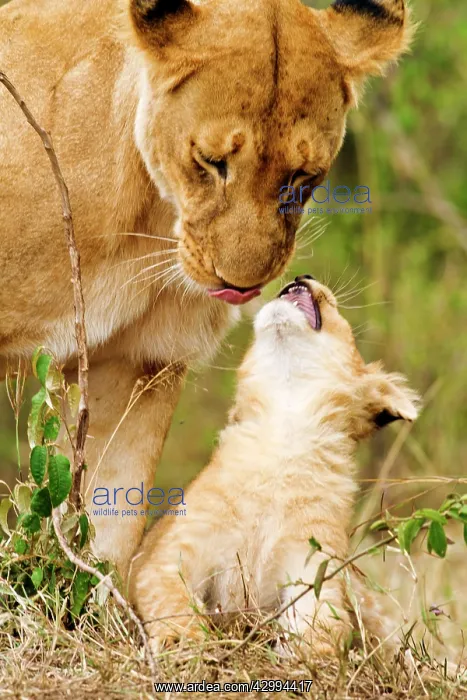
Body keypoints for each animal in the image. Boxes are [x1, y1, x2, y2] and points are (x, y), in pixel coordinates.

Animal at [0, 0, 412, 577]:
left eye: (302, 176)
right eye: (211, 161)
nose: (242, 286)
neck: (146, 223)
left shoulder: (136, 364)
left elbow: (109, 528)